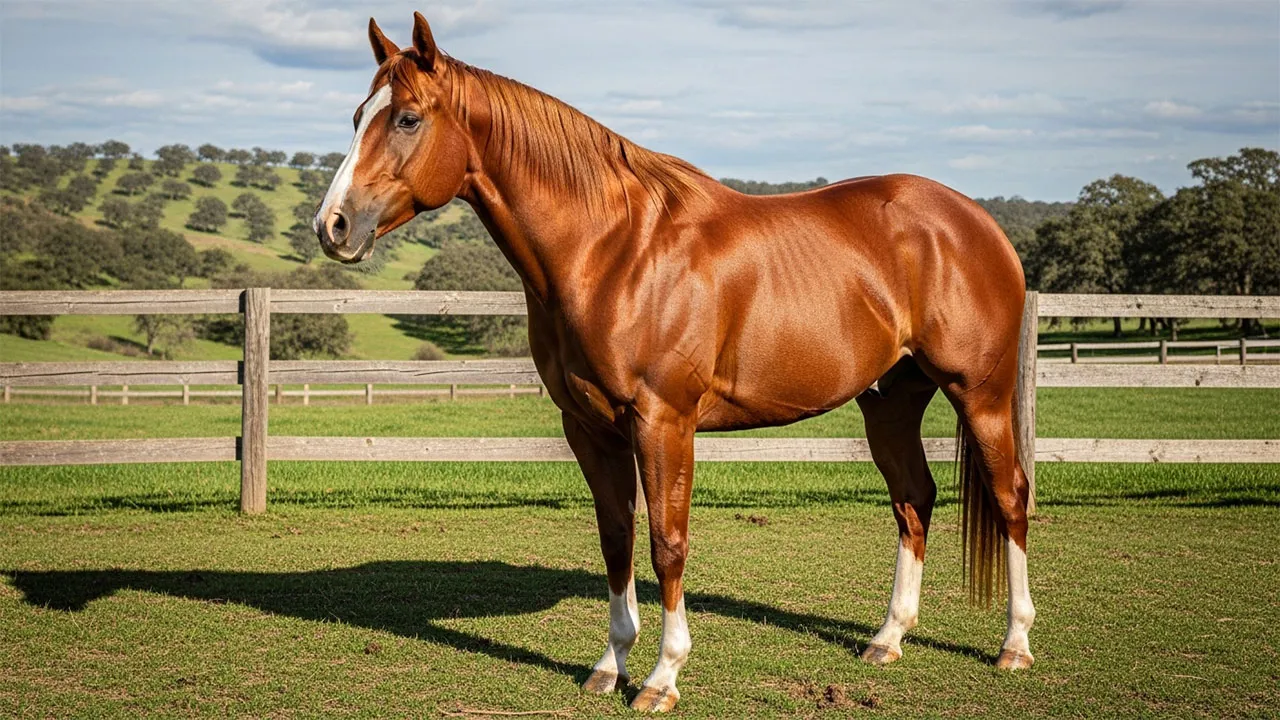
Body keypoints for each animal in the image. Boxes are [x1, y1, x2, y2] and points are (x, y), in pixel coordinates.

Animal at [314, 13, 1036, 712]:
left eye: (407, 118)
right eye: (356, 116)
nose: (333, 226)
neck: (611, 250)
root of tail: (975, 223)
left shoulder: (664, 422)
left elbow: (668, 543)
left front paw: (663, 677)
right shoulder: (591, 428)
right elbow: (617, 538)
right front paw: (611, 666)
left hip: (980, 393)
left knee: (1010, 497)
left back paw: (1015, 645)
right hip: (890, 401)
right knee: (913, 499)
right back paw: (888, 639)